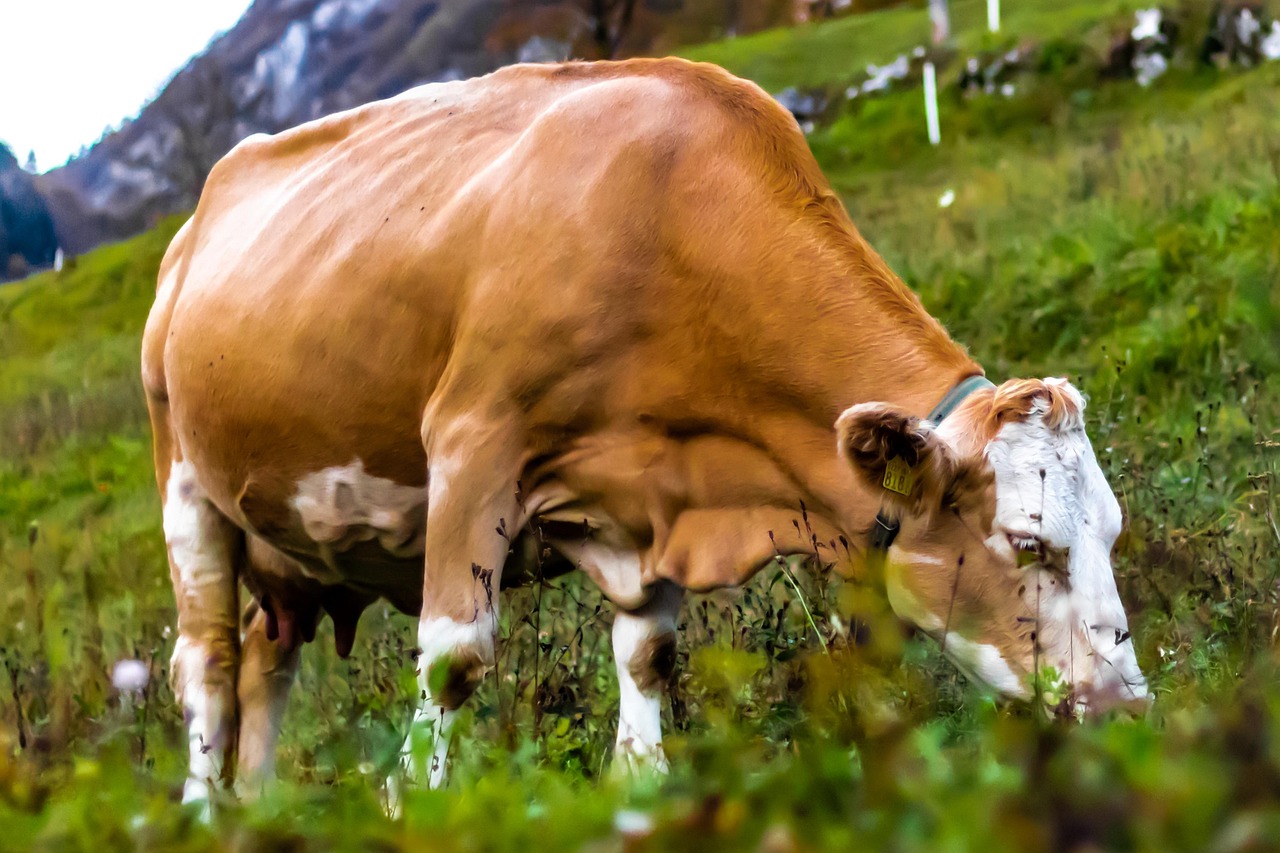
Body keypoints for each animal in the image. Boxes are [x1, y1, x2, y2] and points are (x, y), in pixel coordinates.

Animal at [141, 57, 1149, 809]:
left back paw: (258, 809)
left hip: (293, 545)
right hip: (186, 485)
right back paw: (203, 810)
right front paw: (416, 801)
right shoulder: (473, 443)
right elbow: (455, 659)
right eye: (1029, 542)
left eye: (1110, 532)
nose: (1129, 711)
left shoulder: (656, 488)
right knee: (208, 667)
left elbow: (649, 654)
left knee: (266, 661)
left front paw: (643, 784)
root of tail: (196, 218)